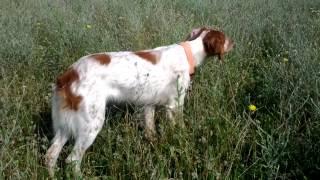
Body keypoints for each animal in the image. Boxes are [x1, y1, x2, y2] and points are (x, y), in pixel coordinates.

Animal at [44, 27, 232, 175]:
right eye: (225, 38)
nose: (234, 42)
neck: (188, 53)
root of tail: (69, 74)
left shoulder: (148, 105)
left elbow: (150, 130)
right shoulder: (174, 104)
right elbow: (179, 127)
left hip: (64, 126)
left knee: (50, 156)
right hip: (91, 123)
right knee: (72, 160)